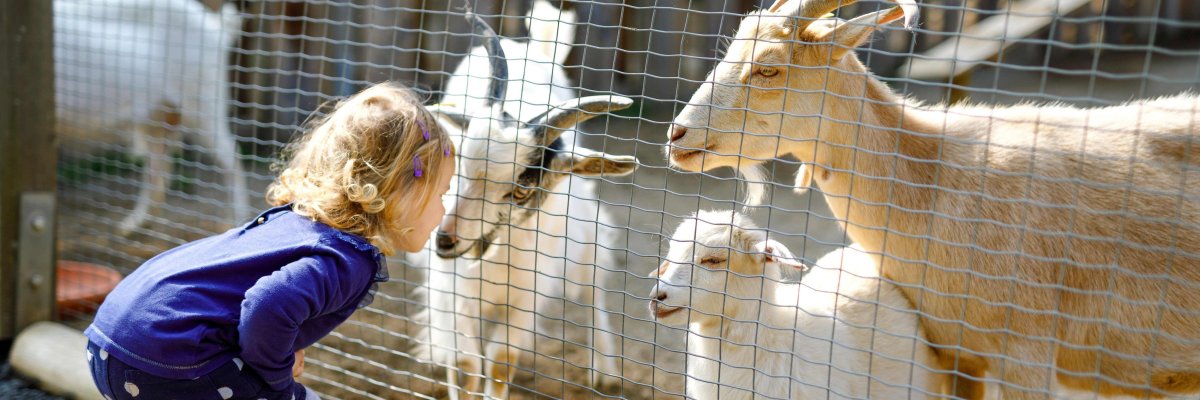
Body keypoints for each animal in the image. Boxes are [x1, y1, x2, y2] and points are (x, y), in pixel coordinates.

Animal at [55, 0, 247, 231]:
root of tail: (215, 28)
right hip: (155, 117)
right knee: (157, 165)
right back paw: (133, 224)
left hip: (203, 104)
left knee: (231, 158)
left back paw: (238, 220)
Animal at [422, 5, 638, 396]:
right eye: (459, 163)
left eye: (521, 189)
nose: (445, 240)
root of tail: (534, 47)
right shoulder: (451, 290)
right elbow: (466, 364)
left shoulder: (526, 295)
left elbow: (499, 363)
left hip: (585, 237)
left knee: (593, 290)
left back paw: (605, 369)